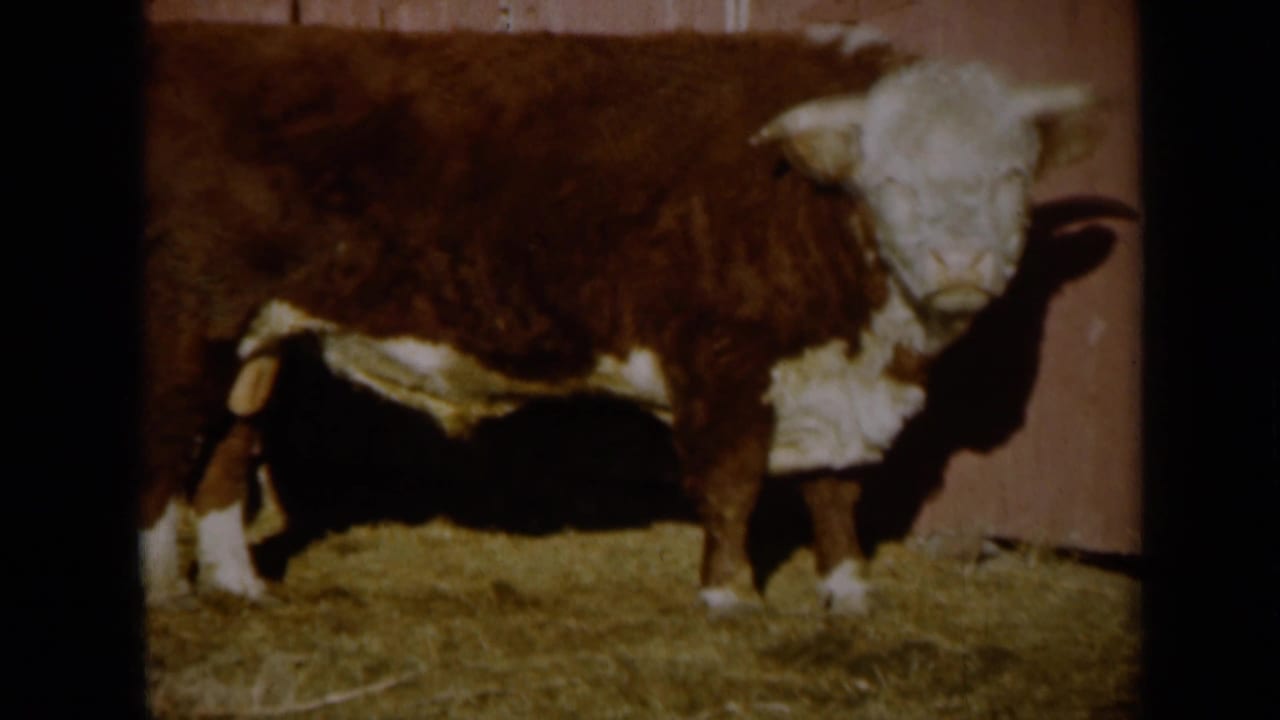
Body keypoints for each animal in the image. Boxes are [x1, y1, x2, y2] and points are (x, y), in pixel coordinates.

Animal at [139, 21, 1099, 614]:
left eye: (1013, 176)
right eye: (890, 178)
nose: (963, 264)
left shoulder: (831, 384)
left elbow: (835, 492)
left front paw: (850, 591)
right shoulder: (721, 361)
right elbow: (733, 486)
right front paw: (729, 596)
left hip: (257, 337)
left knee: (228, 448)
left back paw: (236, 585)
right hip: (182, 328)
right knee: (164, 454)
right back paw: (165, 588)